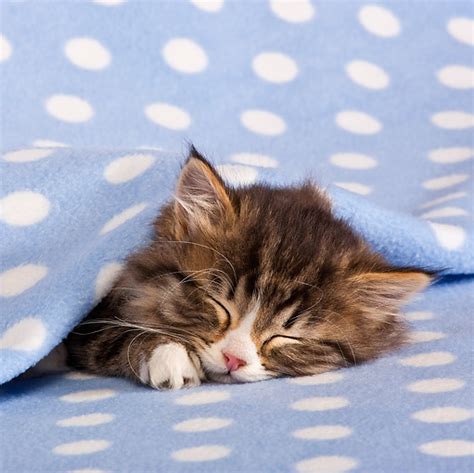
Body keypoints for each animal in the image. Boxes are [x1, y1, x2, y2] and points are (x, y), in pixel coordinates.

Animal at [65, 147, 432, 388]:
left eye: (286, 335)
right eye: (218, 305)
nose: (234, 359)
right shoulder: (90, 322)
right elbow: (118, 333)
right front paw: (169, 355)